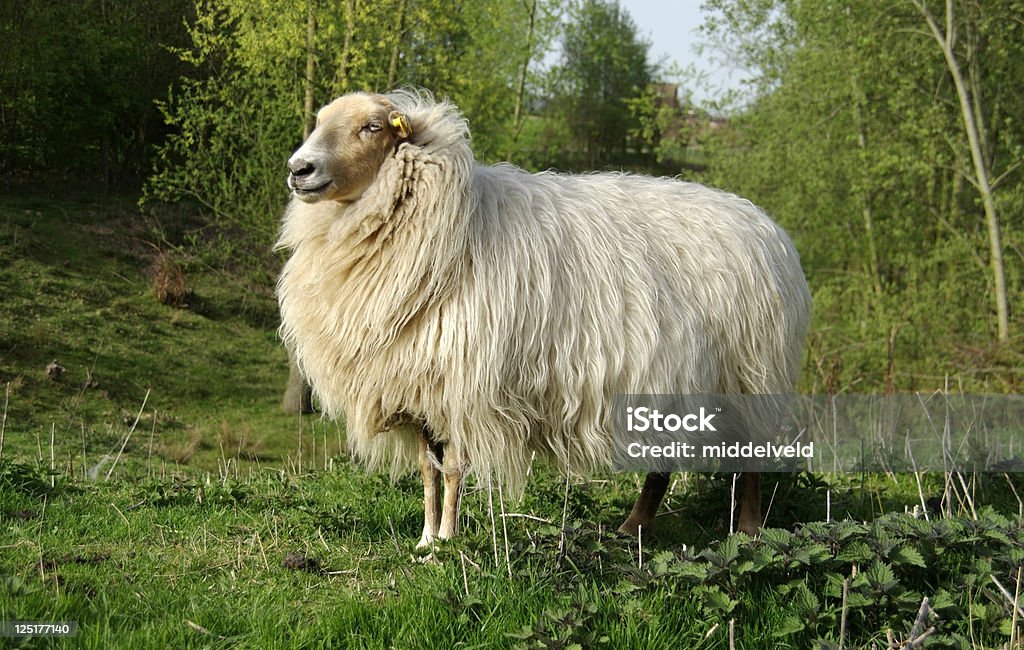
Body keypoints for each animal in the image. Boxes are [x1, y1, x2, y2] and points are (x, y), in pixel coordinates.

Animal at [276, 90, 811, 548]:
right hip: (677, 383)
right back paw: (633, 529)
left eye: (371, 127)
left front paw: (447, 541)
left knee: (748, 461)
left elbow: (453, 470)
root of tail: (765, 224)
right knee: (663, 462)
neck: (452, 223)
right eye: (319, 120)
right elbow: (430, 471)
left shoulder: (461, 386)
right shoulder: (418, 385)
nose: (298, 169)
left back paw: (747, 532)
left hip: (748, 378)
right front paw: (426, 540)